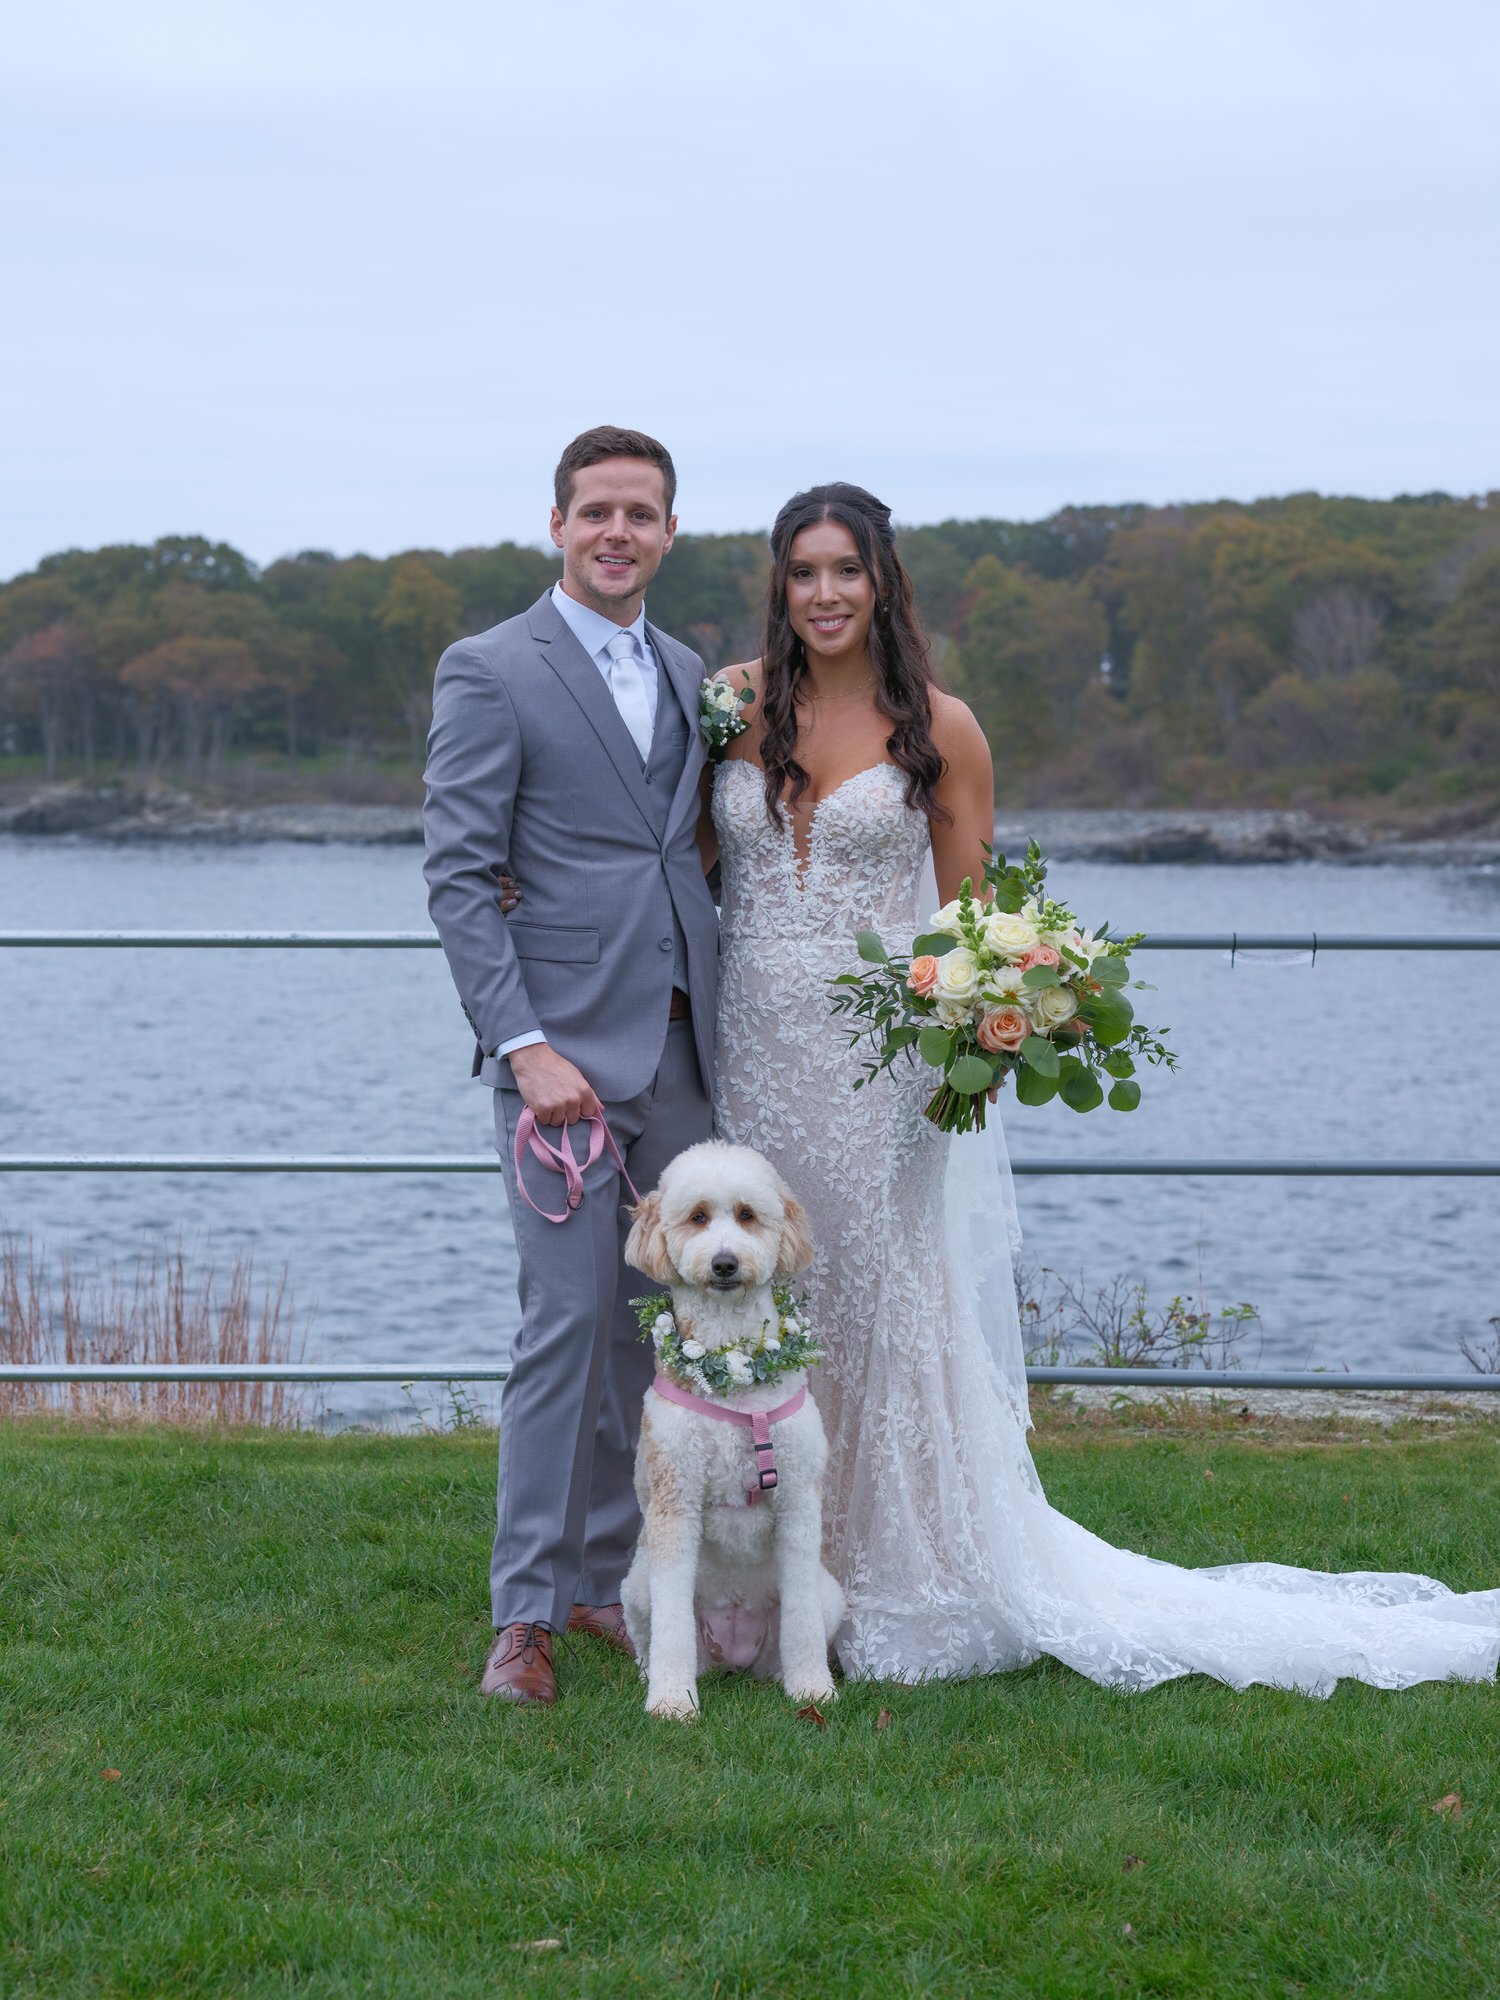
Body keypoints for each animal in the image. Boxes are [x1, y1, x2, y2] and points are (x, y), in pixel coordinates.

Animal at [620, 1144, 848, 1720]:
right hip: (636, 1585)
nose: (725, 1263)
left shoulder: (798, 1501)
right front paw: (672, 1701)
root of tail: (735, 1652)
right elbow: (673, 1623)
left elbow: (802, 1622)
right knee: (649, 1639)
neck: (735, 1373)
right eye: (698, 1216)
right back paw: (654, 1677)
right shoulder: (675, 1501)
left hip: (831, 1593)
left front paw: (813, 1689)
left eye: (746, 1215)